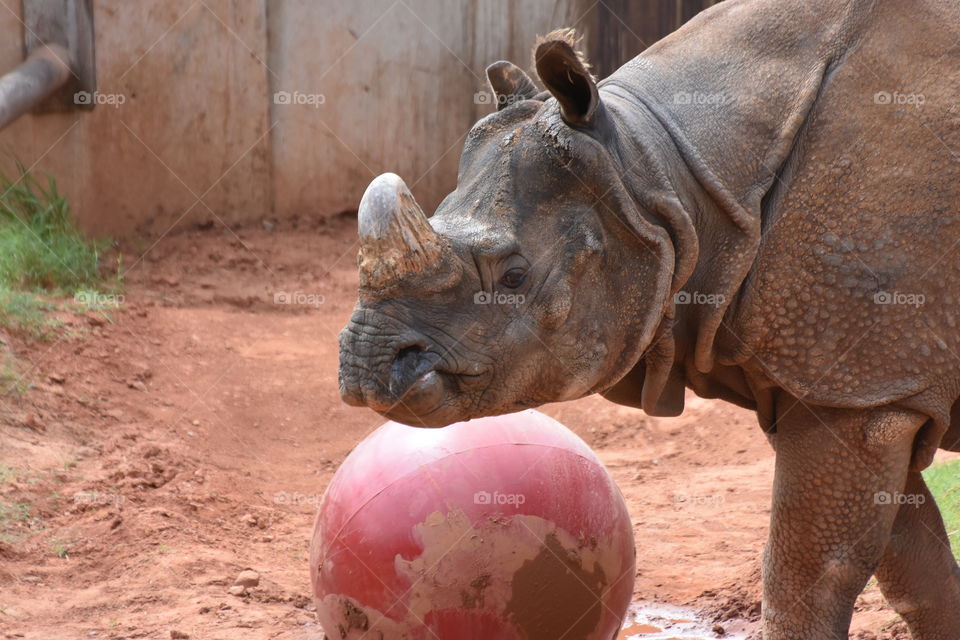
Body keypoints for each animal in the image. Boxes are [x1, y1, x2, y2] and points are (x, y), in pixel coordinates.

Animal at [338, 0, 960, 637]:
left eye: (513, 276)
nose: (365, 369)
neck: (657, 175)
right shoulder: (857, 384)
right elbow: (917, 572)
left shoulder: (860, 385)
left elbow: (811, 575)